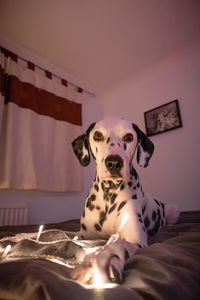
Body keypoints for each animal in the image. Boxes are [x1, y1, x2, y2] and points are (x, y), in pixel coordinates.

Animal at [70, 116, 180, 284]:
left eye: (128, 137)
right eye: (98, 136)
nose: (114, 162)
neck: (109, 194)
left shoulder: (135, 239)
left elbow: (117, 245)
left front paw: (98, 264)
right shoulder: (83, 234)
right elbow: (71, 238)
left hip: (174, 209)